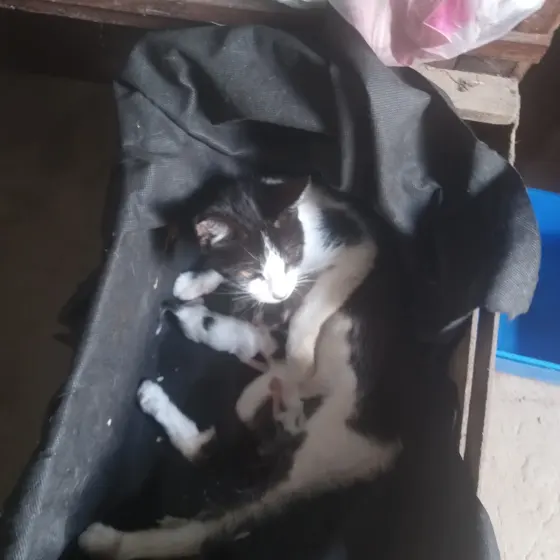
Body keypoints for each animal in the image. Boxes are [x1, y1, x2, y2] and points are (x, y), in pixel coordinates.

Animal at [79, 175, 405, 559]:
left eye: (289, 258)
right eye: (252, 270)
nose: (280, 295)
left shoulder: (358, 248)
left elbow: (309, 308)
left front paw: (297, 353)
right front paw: (197, 281)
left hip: (328, 436)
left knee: (215, 502)